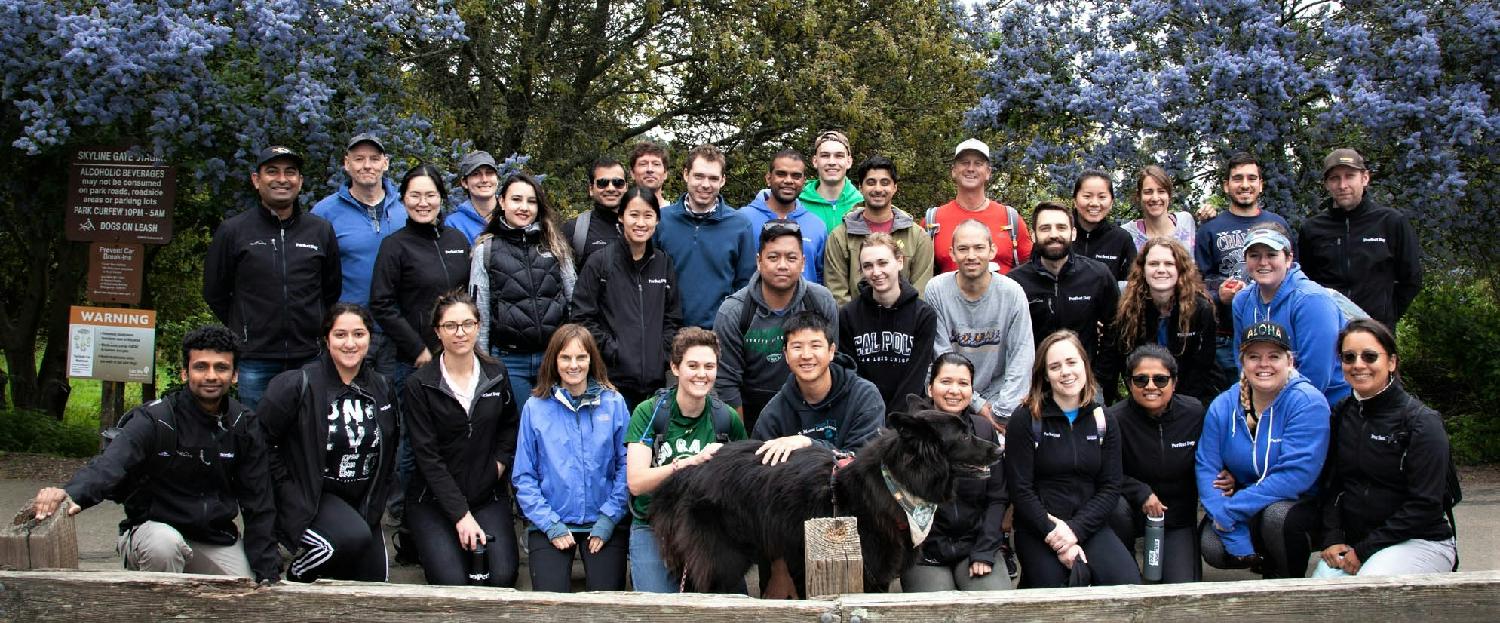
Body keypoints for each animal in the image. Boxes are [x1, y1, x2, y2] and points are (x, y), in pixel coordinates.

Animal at [654, 408, 996, 594]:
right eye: (964, 437)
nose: (1000, 448)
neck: (896, 484)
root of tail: (690, 471)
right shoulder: (868, 572)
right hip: (723, 562)